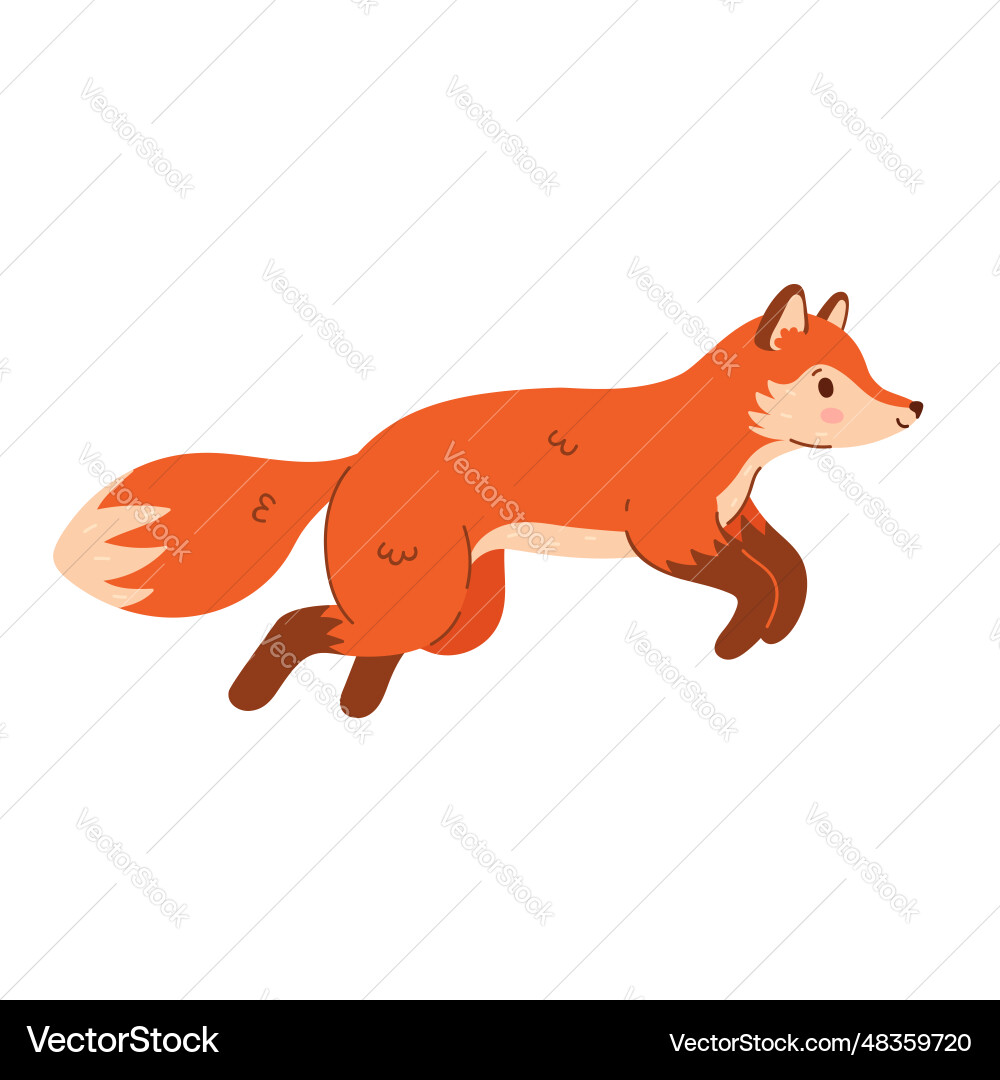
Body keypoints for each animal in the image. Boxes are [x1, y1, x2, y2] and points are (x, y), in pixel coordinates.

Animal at [55, 284, 922, 719]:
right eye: (827, 385)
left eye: (865, 368)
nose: (912, 408)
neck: (720, 443)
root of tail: (356, 456)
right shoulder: (670, 538)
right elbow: (755, 581)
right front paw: (741, 641)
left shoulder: (732, 520)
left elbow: (790, 569)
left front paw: (775, 629)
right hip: (425, 600)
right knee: (300, 625)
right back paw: (249, 700)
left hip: (460, 613)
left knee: (360, 645)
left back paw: (358, 710)